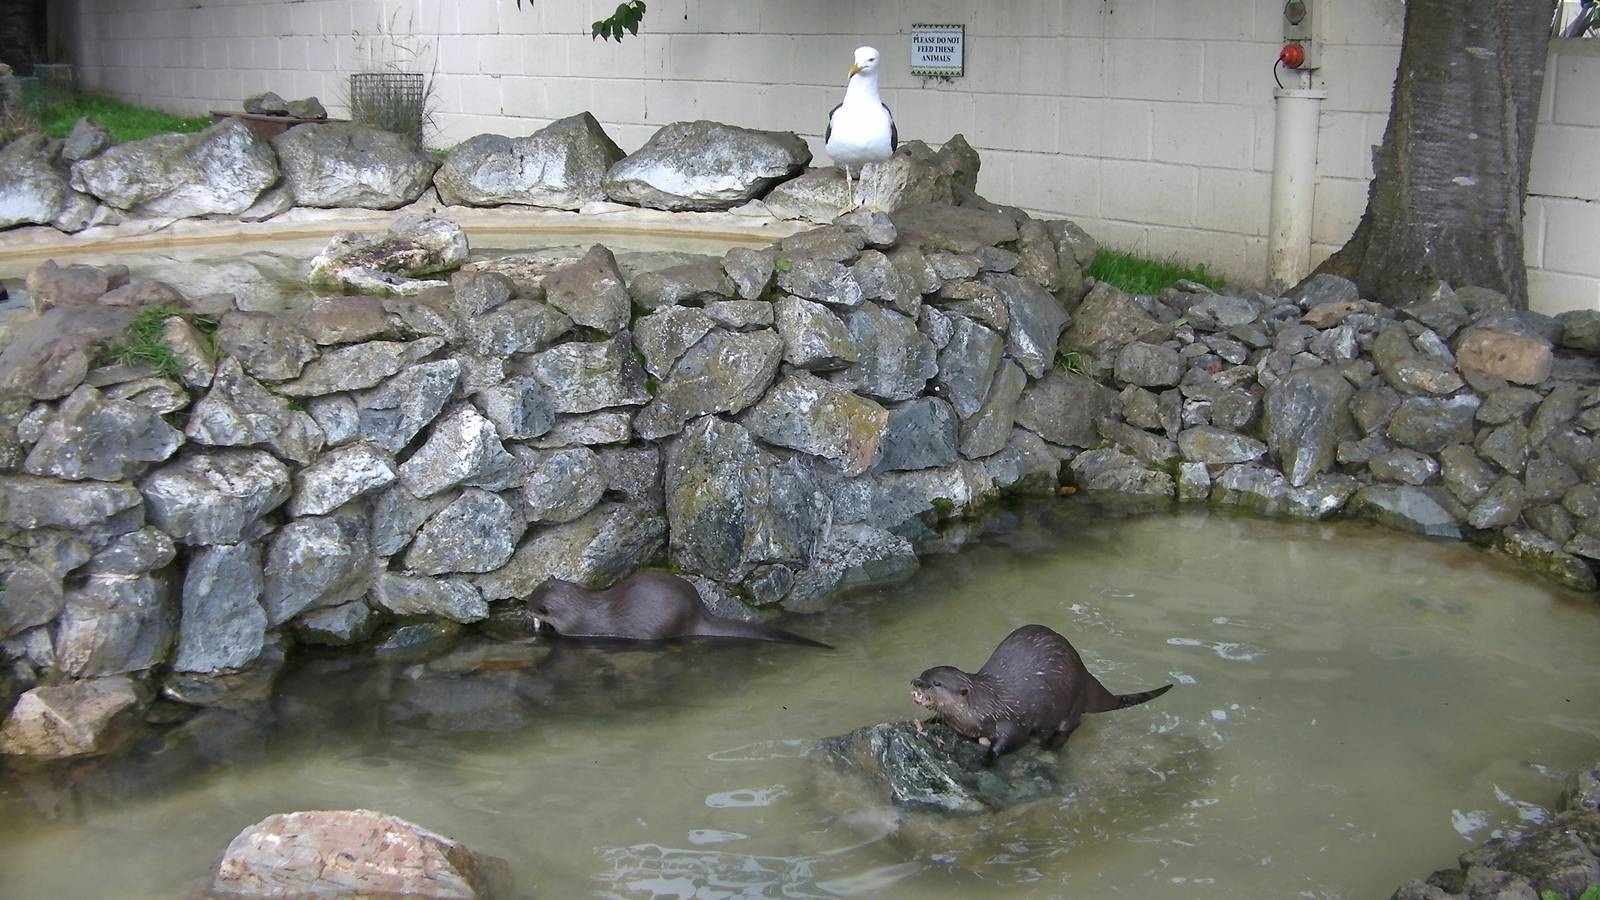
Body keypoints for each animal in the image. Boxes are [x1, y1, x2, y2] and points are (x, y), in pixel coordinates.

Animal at [527, 571, 832, 648]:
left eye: (533, 606)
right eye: (530, 594)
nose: (525, 608)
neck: (581, 608)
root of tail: (697, 613)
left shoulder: (575, 629)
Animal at [911, 624, 1172, 765]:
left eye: (936, 683)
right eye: (923, 673)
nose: (916, 681)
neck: (984, 708)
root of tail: (1085, 673)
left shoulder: (1011, 725)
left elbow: (1009, 742)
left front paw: (987, 759)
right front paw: (929, 721)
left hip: (1072, 700)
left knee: (1070, 727)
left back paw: (1050, 745)